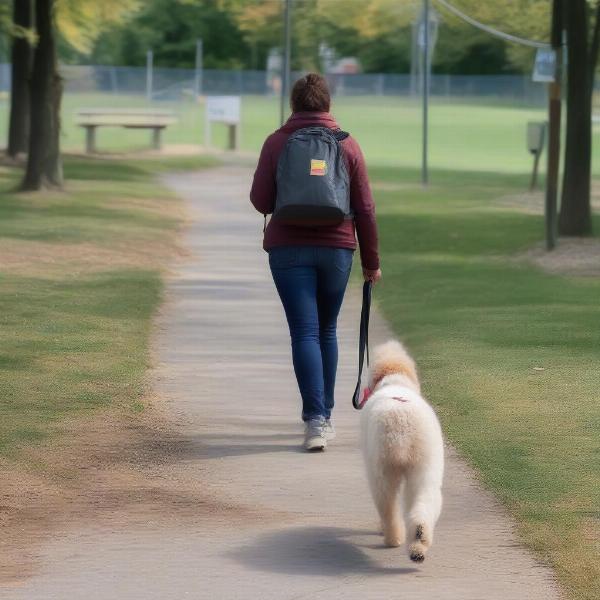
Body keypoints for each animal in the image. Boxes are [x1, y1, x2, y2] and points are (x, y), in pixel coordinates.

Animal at [358, 342, 442, 564]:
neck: (394, 380)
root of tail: (402, 424)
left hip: (381, 472)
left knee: (388, 507)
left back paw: (392, 538)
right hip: (425, 467)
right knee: (424, 504)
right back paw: (418, 543)